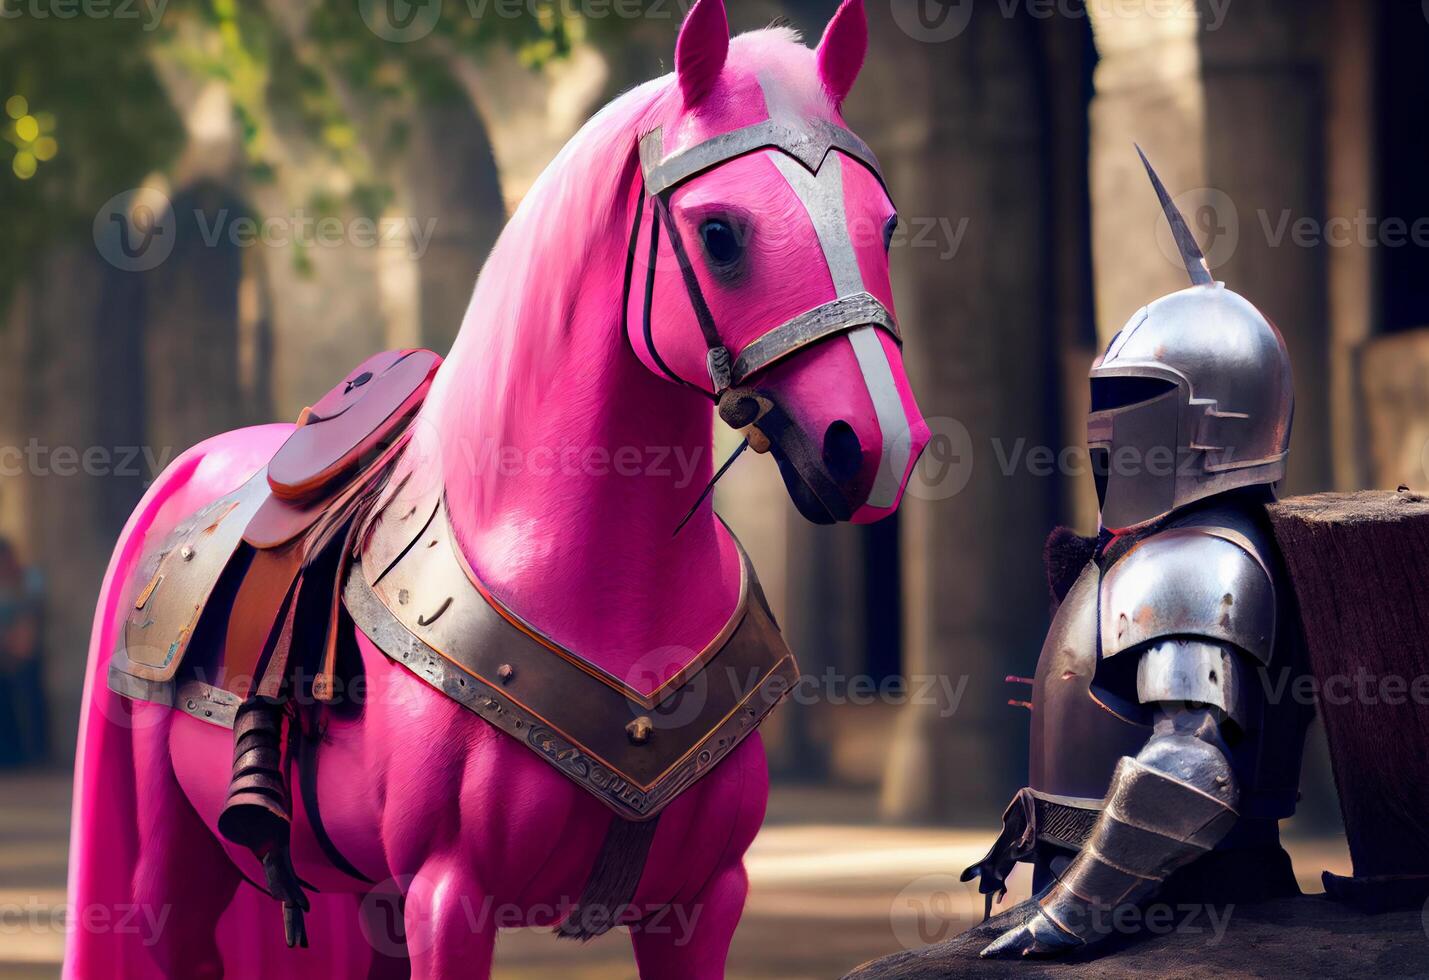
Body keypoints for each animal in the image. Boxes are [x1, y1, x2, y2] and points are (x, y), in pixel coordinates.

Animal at [69, 3, 925, 977]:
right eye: (719, 233)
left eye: (884, 224)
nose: (878, 446)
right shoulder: (452, 892)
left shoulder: (703, 899)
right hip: (180, 865)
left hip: (369, 896)